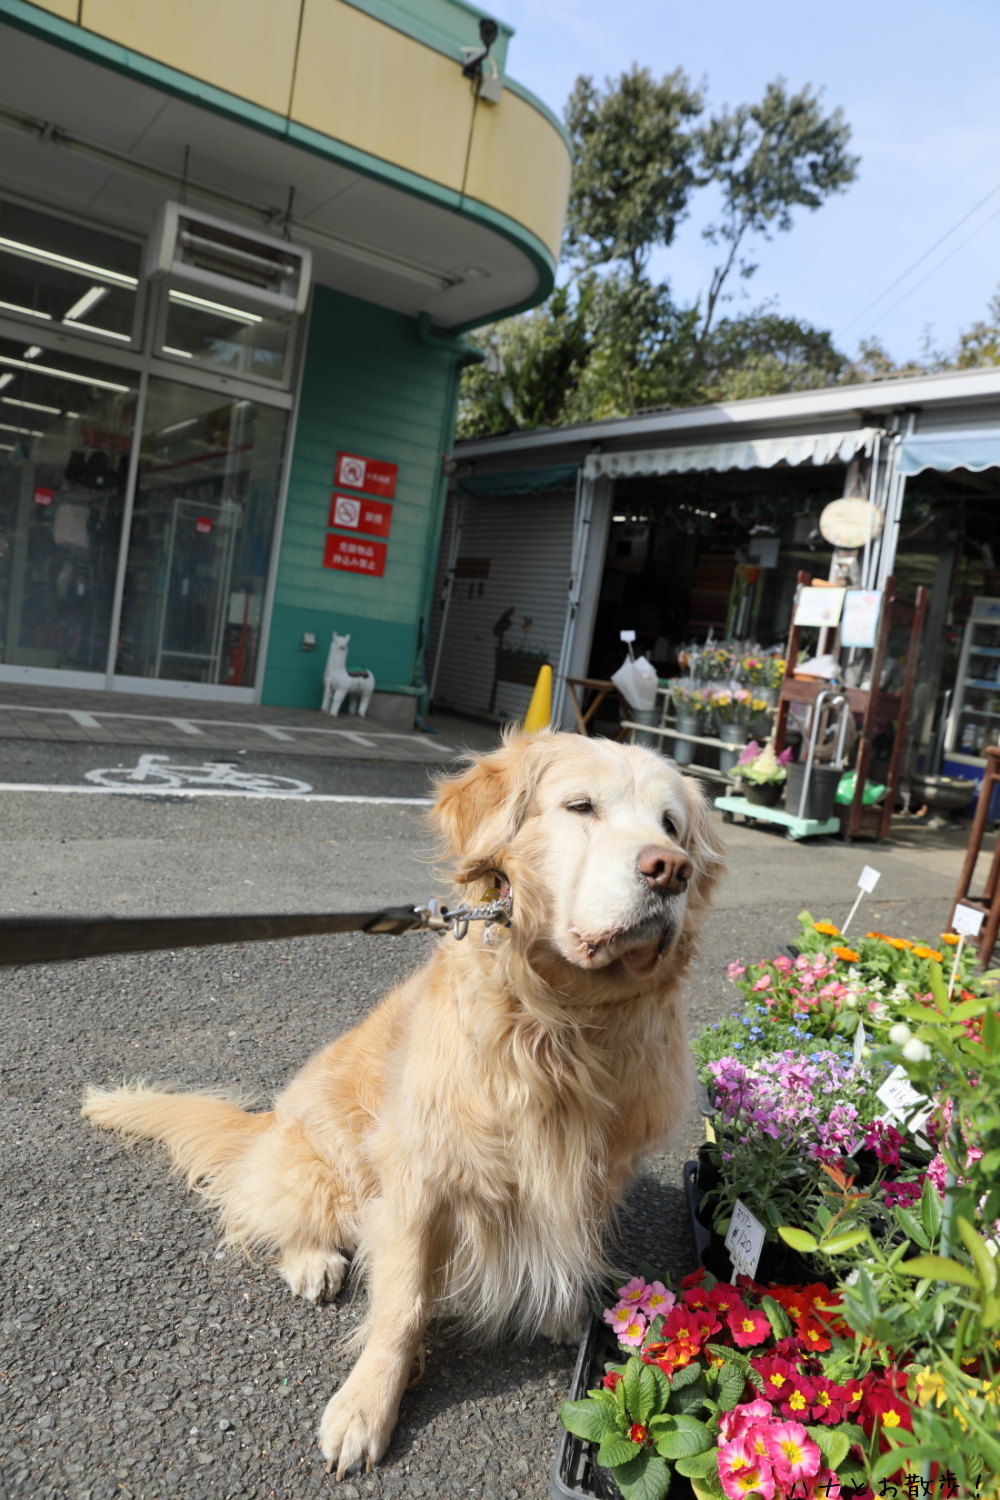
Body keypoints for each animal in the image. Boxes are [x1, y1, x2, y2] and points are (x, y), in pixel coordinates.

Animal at [83, 732, 719, 1482]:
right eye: (581, 806)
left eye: (672, 826)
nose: (670, 869)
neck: (563, 1026)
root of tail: (267, 1123)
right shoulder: (420, 1176)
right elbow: (403, 1306)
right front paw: (365, 1407)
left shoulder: (599, 1165)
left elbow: (577, 1234)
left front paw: (568, 1307)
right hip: (325, 1166)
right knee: (272, 1209)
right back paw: (312, 1261)